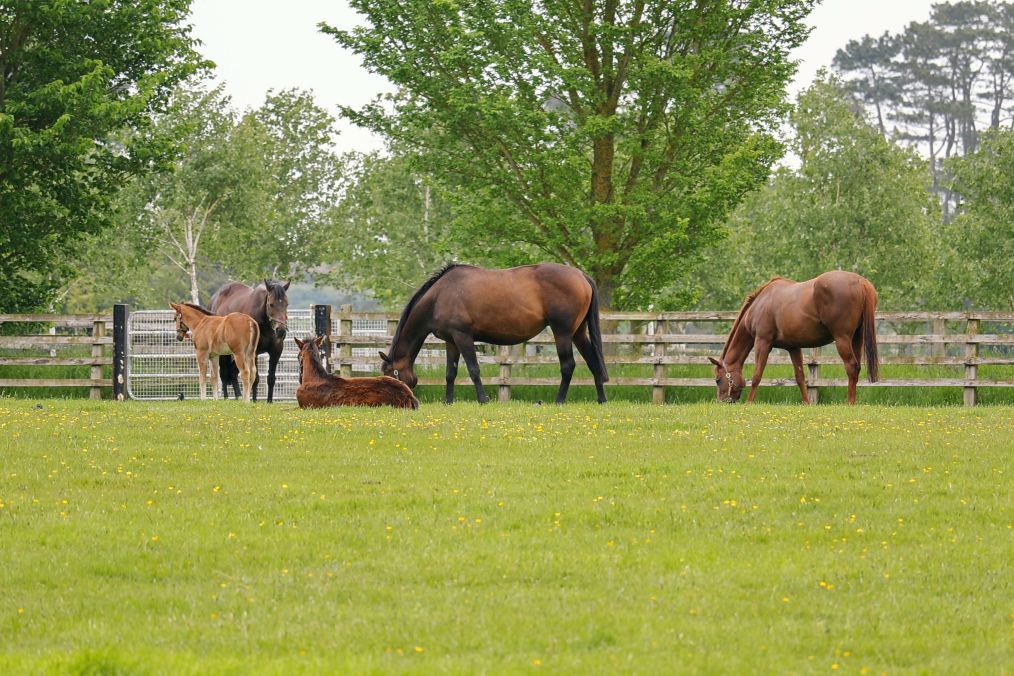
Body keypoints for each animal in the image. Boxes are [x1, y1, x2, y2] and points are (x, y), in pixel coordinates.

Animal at [377, 263, 604, 401]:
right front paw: (448, 402)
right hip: (578, 333)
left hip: (563, 333)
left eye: (390, 374)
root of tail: (581, 275)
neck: (439, 296)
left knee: (568, 366)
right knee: (593, 362)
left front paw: (483, 400)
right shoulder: (451, 341)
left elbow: (474, 370)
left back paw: (559, 401)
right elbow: (450, 373)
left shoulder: (463, 337)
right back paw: (601, 400)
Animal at [713, 271, 880, 407]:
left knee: (851, 366)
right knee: (856, 368)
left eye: (718, 380)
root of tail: (861, 282)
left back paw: (849, 403)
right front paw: (807, 403)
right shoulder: (793, 347)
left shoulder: (762, 342)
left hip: (842, 338)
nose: (722, 401)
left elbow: (757, 375)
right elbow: (800, 377)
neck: (760, 303)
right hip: (856, 339)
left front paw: (749, 403)